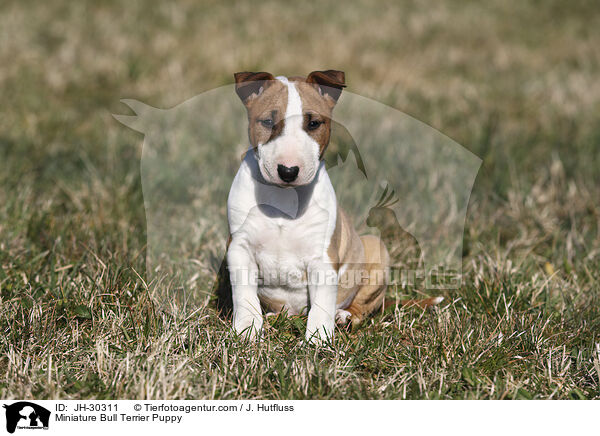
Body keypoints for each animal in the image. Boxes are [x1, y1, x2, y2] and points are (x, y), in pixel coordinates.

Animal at [230, 70, 412, 344]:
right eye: (268, 122)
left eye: (314, 123)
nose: (288, 171)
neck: (285, 198)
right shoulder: (239, 248)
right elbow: (244, 295)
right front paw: (248, 329)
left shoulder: (323, 258)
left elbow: (322, 304)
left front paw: (318, 339)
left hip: (375, 249)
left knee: (359, 307)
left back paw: (342, 317)